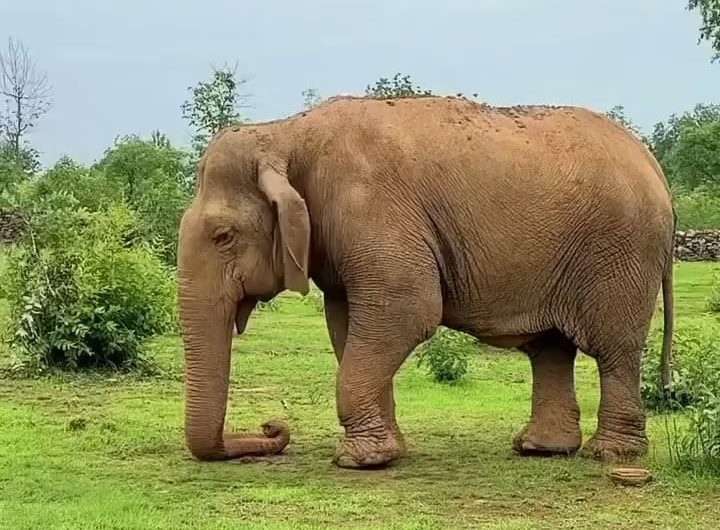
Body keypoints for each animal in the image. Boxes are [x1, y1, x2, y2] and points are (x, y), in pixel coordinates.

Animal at [176, 95, 674, 469]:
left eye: (223, 236)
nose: (273, 426)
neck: (284, 132)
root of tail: (654, 165)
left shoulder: (373, 210)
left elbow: (408, 311)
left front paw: (357, 461)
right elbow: (346, 325)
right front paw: (384, 453)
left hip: (621, 252)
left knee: (613, 350)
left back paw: (609, 455)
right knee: (550, 348)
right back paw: (540, 449)